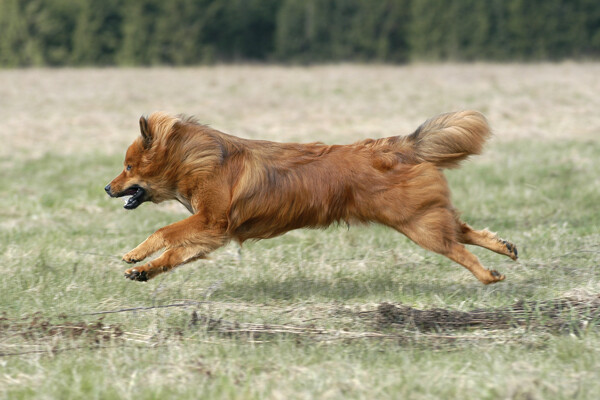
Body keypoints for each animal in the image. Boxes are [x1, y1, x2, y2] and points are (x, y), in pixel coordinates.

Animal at [104, 111, 516, 282]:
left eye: (128, 166)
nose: (106, 188)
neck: (197, 159)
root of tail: (397, 147)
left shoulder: (210, 221)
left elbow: (165, 233)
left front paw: (136, 254)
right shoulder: (210, 234)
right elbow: (174, 254)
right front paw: (143, 270)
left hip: (417, 224)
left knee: (458, 247)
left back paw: (488, 275)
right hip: (421, 218)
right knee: (464, 231)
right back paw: (504, 249)